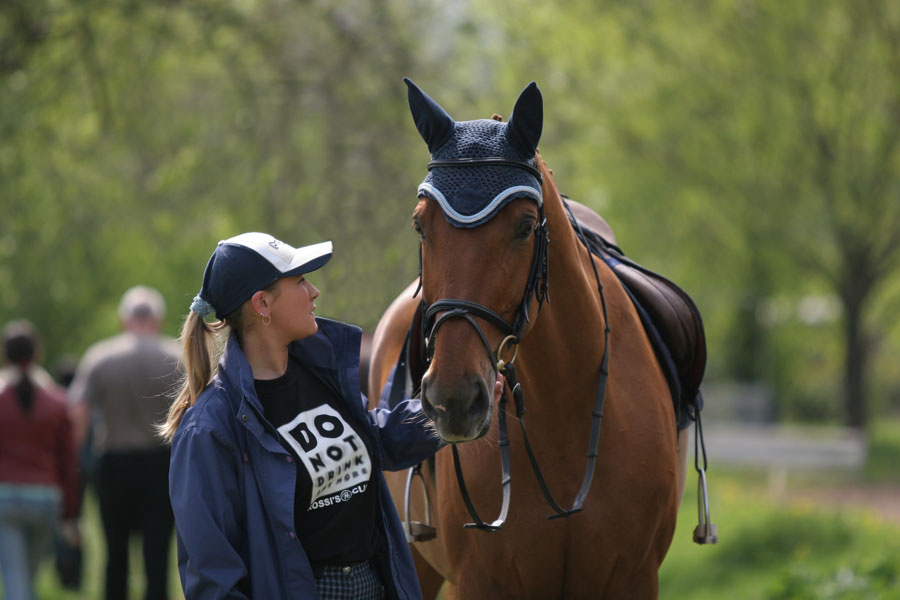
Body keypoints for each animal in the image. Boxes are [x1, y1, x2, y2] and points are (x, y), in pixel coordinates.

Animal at [369, 79, 700, 599]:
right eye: (420, 224)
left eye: (525, 227)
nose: (453, 399)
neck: (563, 412)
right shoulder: (479, 583)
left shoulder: (634, 578)